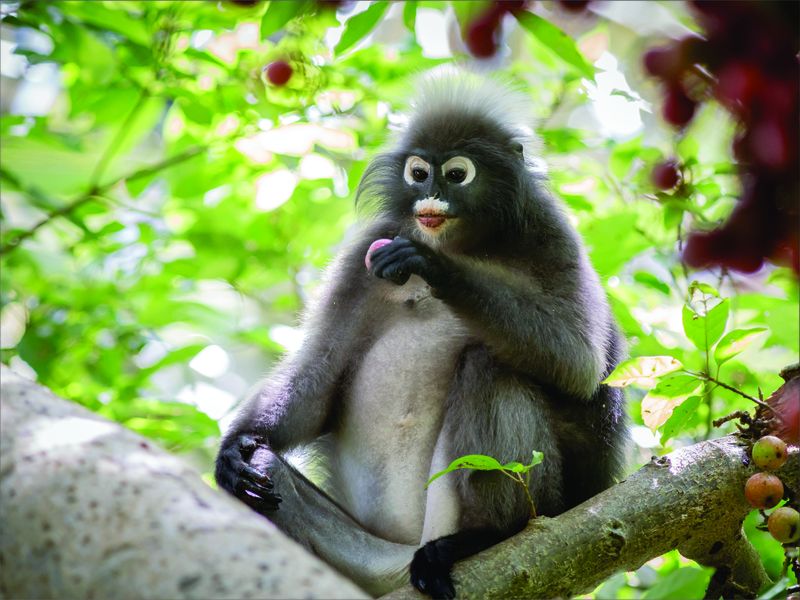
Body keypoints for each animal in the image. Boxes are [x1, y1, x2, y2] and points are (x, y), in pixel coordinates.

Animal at [215, 70, 628, 599]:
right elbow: (321, 372)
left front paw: (433, 266)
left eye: (456, 174)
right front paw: (234, 446)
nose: (429, 195)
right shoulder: (362, 255)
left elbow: (580, 363)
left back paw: (481, 538)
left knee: (490, 365)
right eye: (418, 173)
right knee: (264, 468)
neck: (466, 242)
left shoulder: (552, 235)